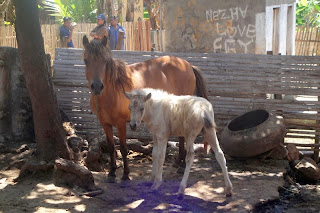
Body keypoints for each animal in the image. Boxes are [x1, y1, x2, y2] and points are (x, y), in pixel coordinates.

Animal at [82, 35, 208, 184]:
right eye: (86, 60)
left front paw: (125, 174)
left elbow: (123, 148)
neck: (112, 91)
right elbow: (111, 147)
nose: (97, 86)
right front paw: (112, 173)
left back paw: (182, 165)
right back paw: (178, 162)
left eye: (105, 61)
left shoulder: (120, 123)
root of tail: (187, 65)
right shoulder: (105, 123)